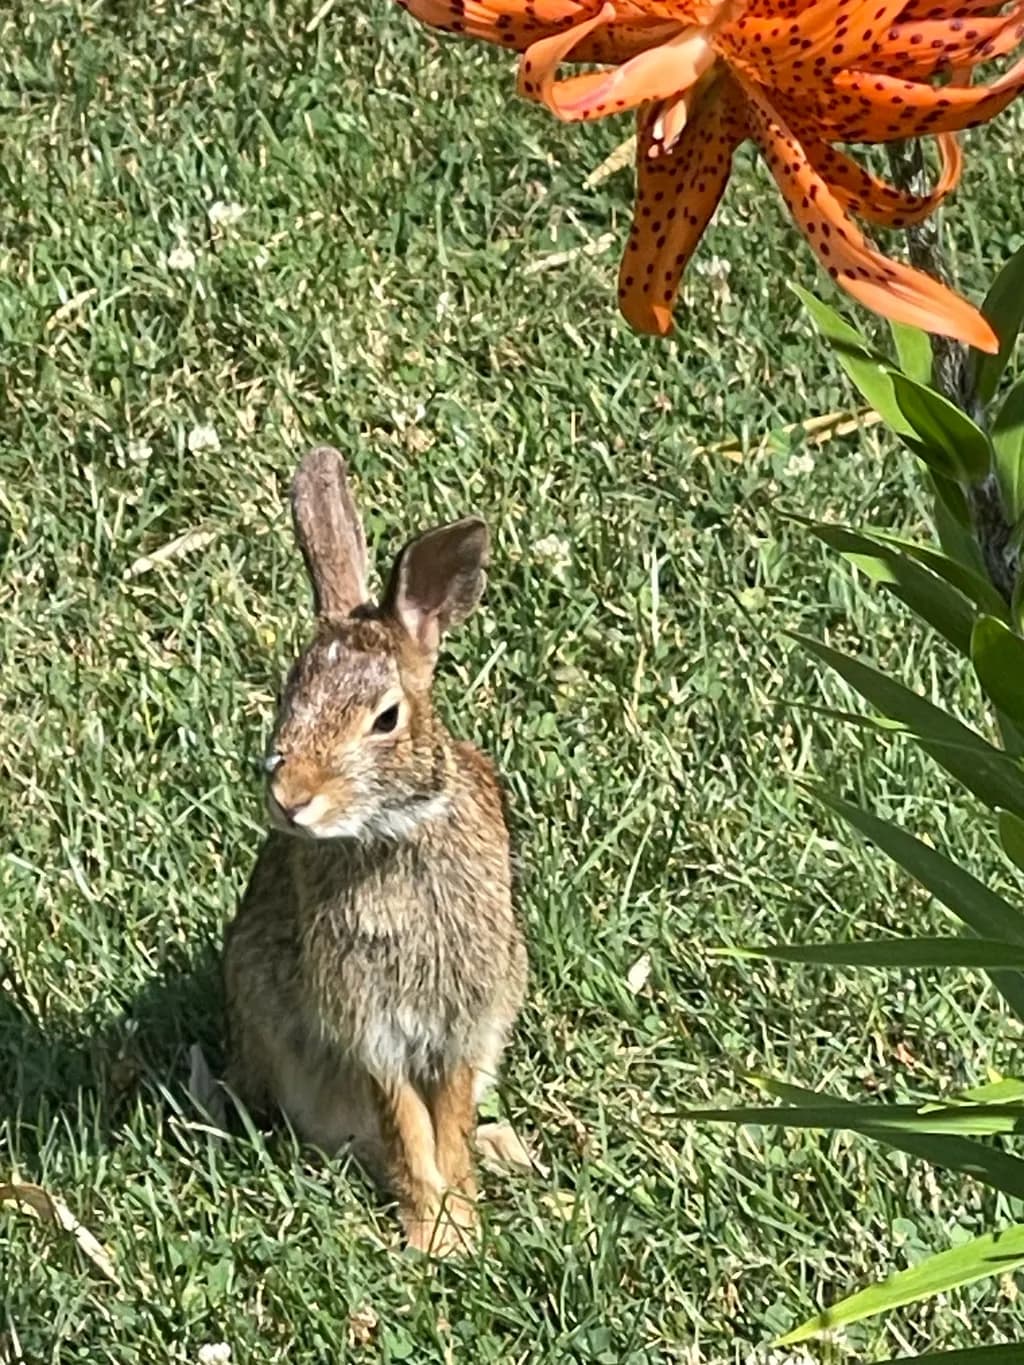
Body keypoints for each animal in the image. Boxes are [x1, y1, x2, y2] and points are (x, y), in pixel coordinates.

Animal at [223, 446, 527, 1254]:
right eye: (288, 696)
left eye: (385, 718)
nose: (291, 797)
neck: (390, 835)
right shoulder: (369, 1027)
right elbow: (404, 1123)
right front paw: (436, 1232)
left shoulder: (462, 1019)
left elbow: (446, 1117)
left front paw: (459, 1219)